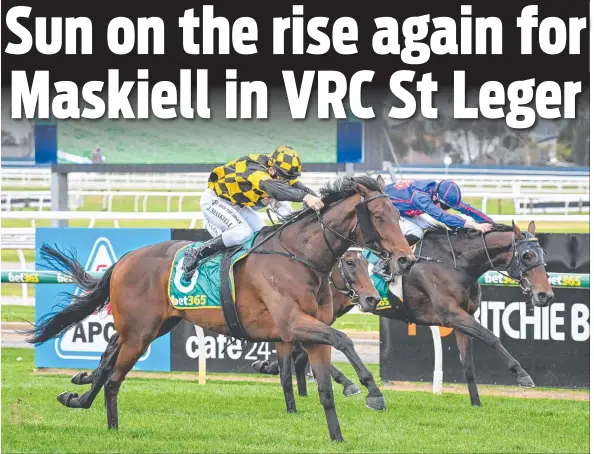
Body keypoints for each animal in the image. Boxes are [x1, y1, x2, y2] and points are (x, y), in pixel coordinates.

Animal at [24, 176, 412, 442]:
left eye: (397, 213)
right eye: (379, 216)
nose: (405, 259)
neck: (298, 257)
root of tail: (124, 260)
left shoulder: (309, 332)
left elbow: (324, 388)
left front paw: (338, 436)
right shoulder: (292, 325)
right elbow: (343, 339)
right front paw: (373, 392)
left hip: (150, 327)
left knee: (107, 362)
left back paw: (78, 398)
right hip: (139, 334)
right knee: (114, 377)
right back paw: (111, 425)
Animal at [250, 222, 552, 406]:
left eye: (543, 255)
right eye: (527, 256)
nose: (545, 295)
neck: (455, 263)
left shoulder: (462, 317)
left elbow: (468, 364)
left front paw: (476, 403)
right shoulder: (451, 315)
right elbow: (491, 337)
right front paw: (522, 375)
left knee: (303, 345)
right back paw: (343, 382)